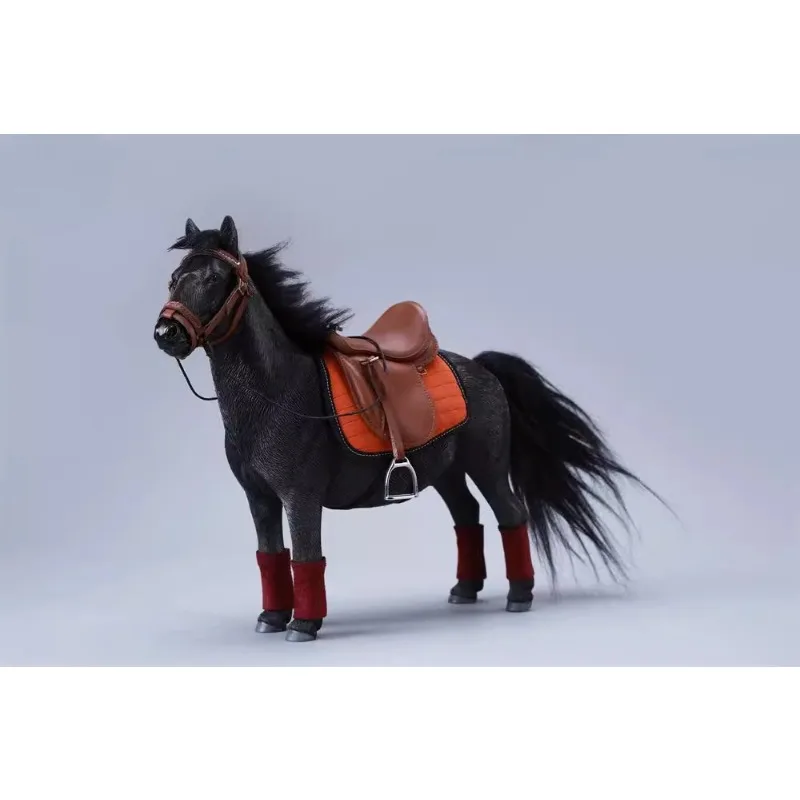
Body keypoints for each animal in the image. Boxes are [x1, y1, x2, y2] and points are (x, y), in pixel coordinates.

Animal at [153, 215, 661, 642]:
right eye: (175, 276)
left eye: (214, 279)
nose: (166, 333)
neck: (278, 391)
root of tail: (480, 367)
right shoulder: (259, 499)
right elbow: (271, 556)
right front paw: (271, 619)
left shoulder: (300, 497)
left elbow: (305, 556)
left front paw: (303, 626)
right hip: (446, 471)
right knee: (467, 515)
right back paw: (464, 590)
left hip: (488, 466)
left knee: (510, 513)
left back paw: (519, 597)